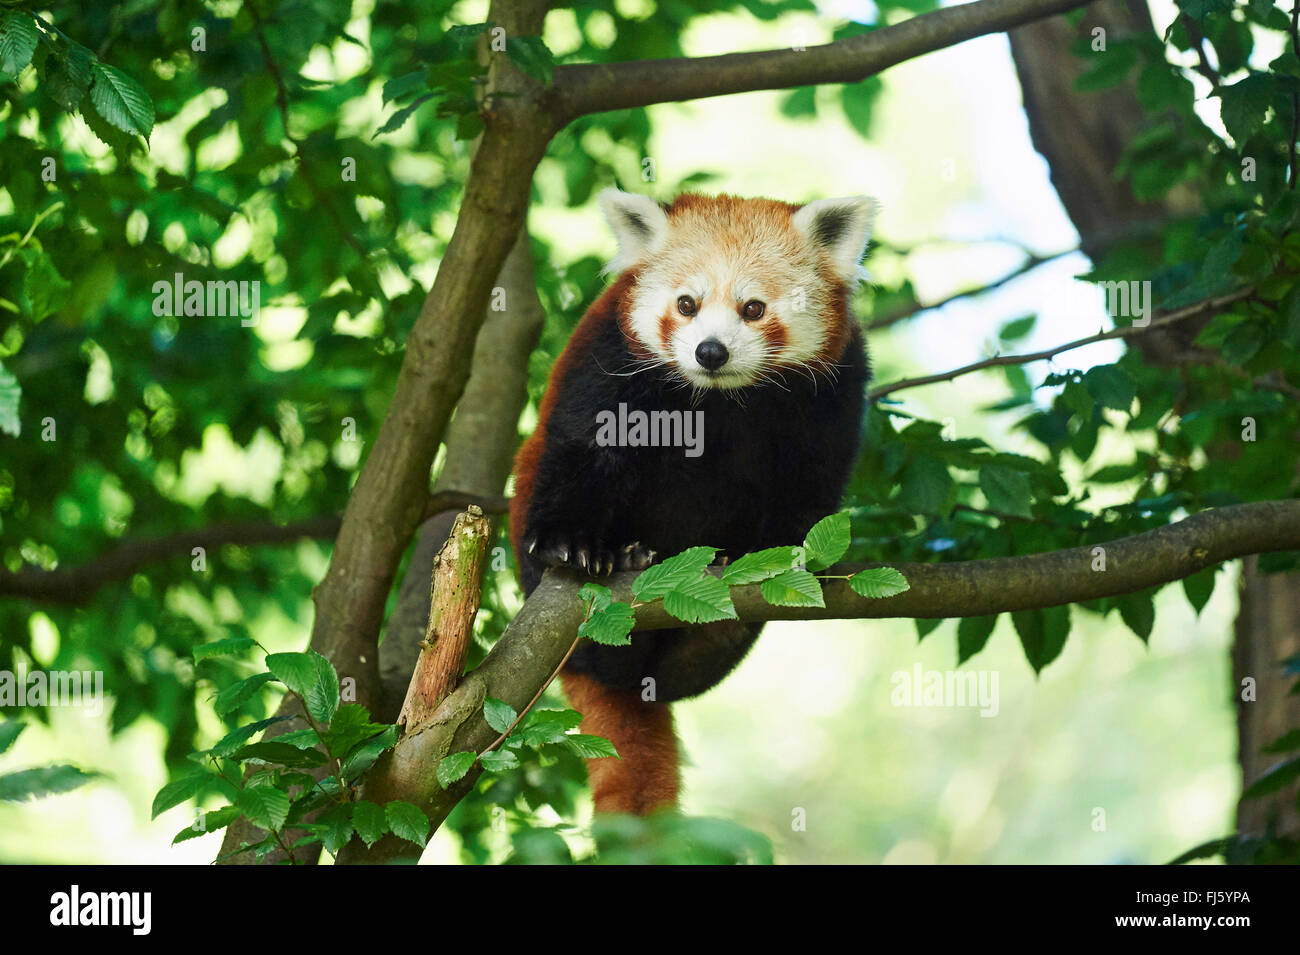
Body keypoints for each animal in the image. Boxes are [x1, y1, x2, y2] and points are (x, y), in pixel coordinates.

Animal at [506, 191, 873, 815]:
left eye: (753, 308)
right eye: (686, 304)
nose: (710, 351)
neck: (721, 398)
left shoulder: (833, 391)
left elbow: (810, 488)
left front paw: (786, 557)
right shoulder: (608, 357)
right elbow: (584, 447)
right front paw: (571, 543)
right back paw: (625, 567)